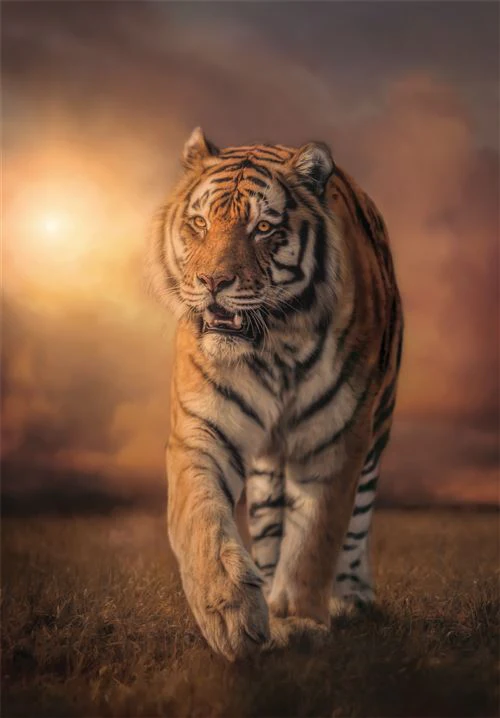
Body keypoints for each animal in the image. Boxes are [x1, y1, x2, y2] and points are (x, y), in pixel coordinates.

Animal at [148, 127, 404, 661]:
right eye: (200, 223)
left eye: (263, 227)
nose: (213, 282)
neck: (273, 347)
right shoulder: (201, 429)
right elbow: (201, 517)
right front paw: (230, 613)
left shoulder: (336, 439)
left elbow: (316, 539)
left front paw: (298, 620)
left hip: (378, 429)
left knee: (358, 521)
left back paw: (351, 597)